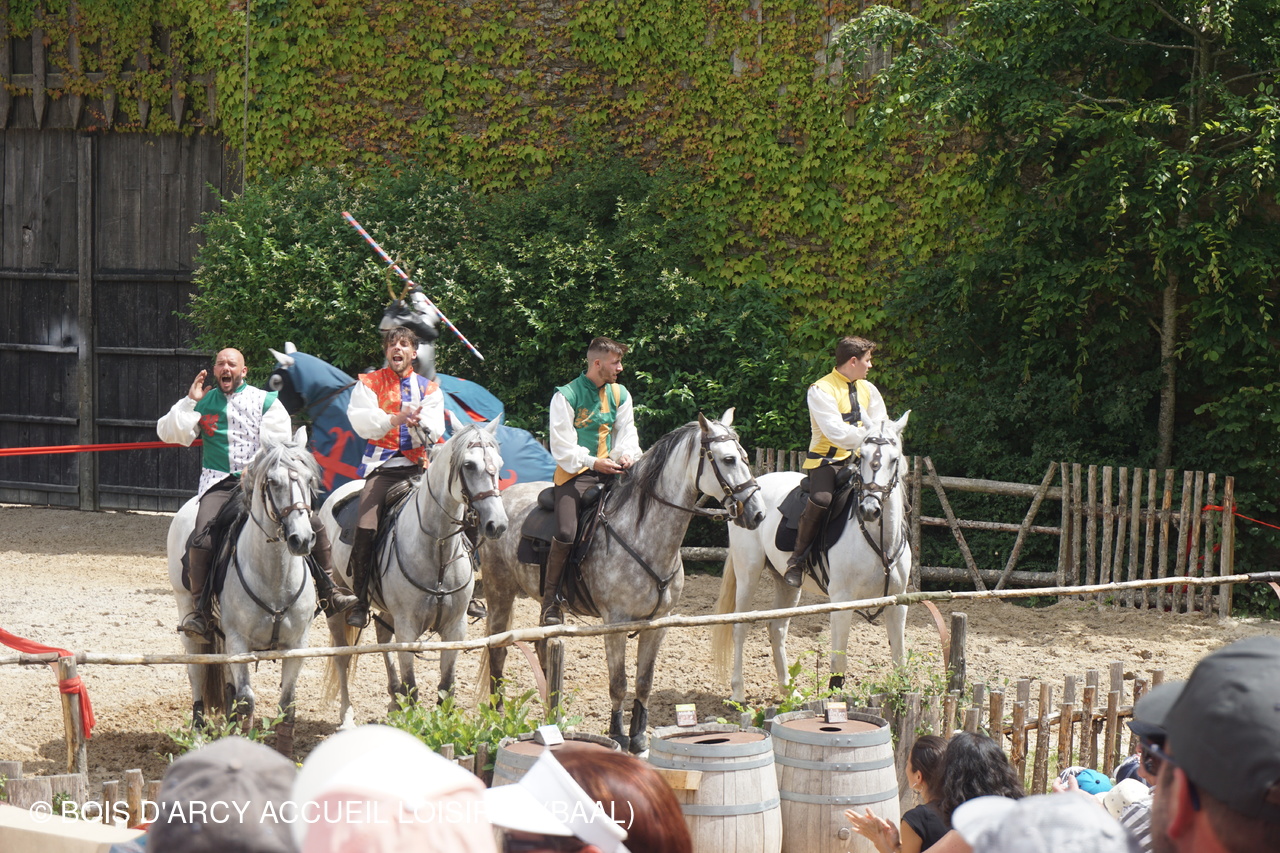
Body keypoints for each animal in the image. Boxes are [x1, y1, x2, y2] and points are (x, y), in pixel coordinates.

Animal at [166, 427, 320, 756]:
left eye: (307, 479)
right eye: (272, 482)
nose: (301, 539)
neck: (275, 578)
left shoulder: (297, 644)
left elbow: (287, 704)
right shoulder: (239, 641)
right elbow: (247, 699)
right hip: (189, 615)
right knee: (197, 673)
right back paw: (198, 734)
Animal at [319, 419, 508, 727]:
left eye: (499, 464)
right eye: (469, 465)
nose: (498, 524)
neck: (437, 551)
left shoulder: (455, 628)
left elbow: (446, 689)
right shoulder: (407, 627)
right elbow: (412, 689)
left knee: (383, 641)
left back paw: (392, 700)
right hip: (338, 606)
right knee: (342, 658)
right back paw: (347, 714)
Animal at [479, 409, 767, 753]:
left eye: (746, 457)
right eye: (727, 459)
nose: (758, 513)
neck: (643, 535)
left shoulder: (658, 624)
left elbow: (644, 681)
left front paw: (639, 736)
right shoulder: (614, 623)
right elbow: (618, 683)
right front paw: (617, 735)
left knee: (543, 646)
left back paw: (552, 714)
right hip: (499, 592)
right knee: (498, 650)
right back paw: (497, 716)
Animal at [711, 412, 911, 704]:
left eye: (893, 459)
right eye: (862, 456)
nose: (870, 509)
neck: (879, 540)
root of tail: (747, 497)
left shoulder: (897, 602)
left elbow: (900, 658)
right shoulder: (842, 602)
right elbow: (839, 662)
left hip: (786, 583)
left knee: (777, 628)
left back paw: (788, 690)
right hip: (748, 573)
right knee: (740, 626)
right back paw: (738, 692)